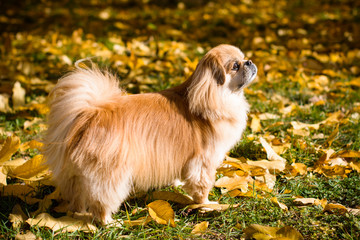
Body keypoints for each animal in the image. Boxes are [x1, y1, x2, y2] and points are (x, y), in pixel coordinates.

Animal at [44, 44, 256, 224]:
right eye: (235, 66)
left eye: (244, 58)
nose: (249, 62)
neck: (211, 97)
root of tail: (89, 114)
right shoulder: (203, 162)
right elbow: (201, 187)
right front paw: (207, 204)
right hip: (111, 175)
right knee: (101, 203)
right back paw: (110, 222)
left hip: (75, 176)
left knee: (77, 198)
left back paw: (78, 215)